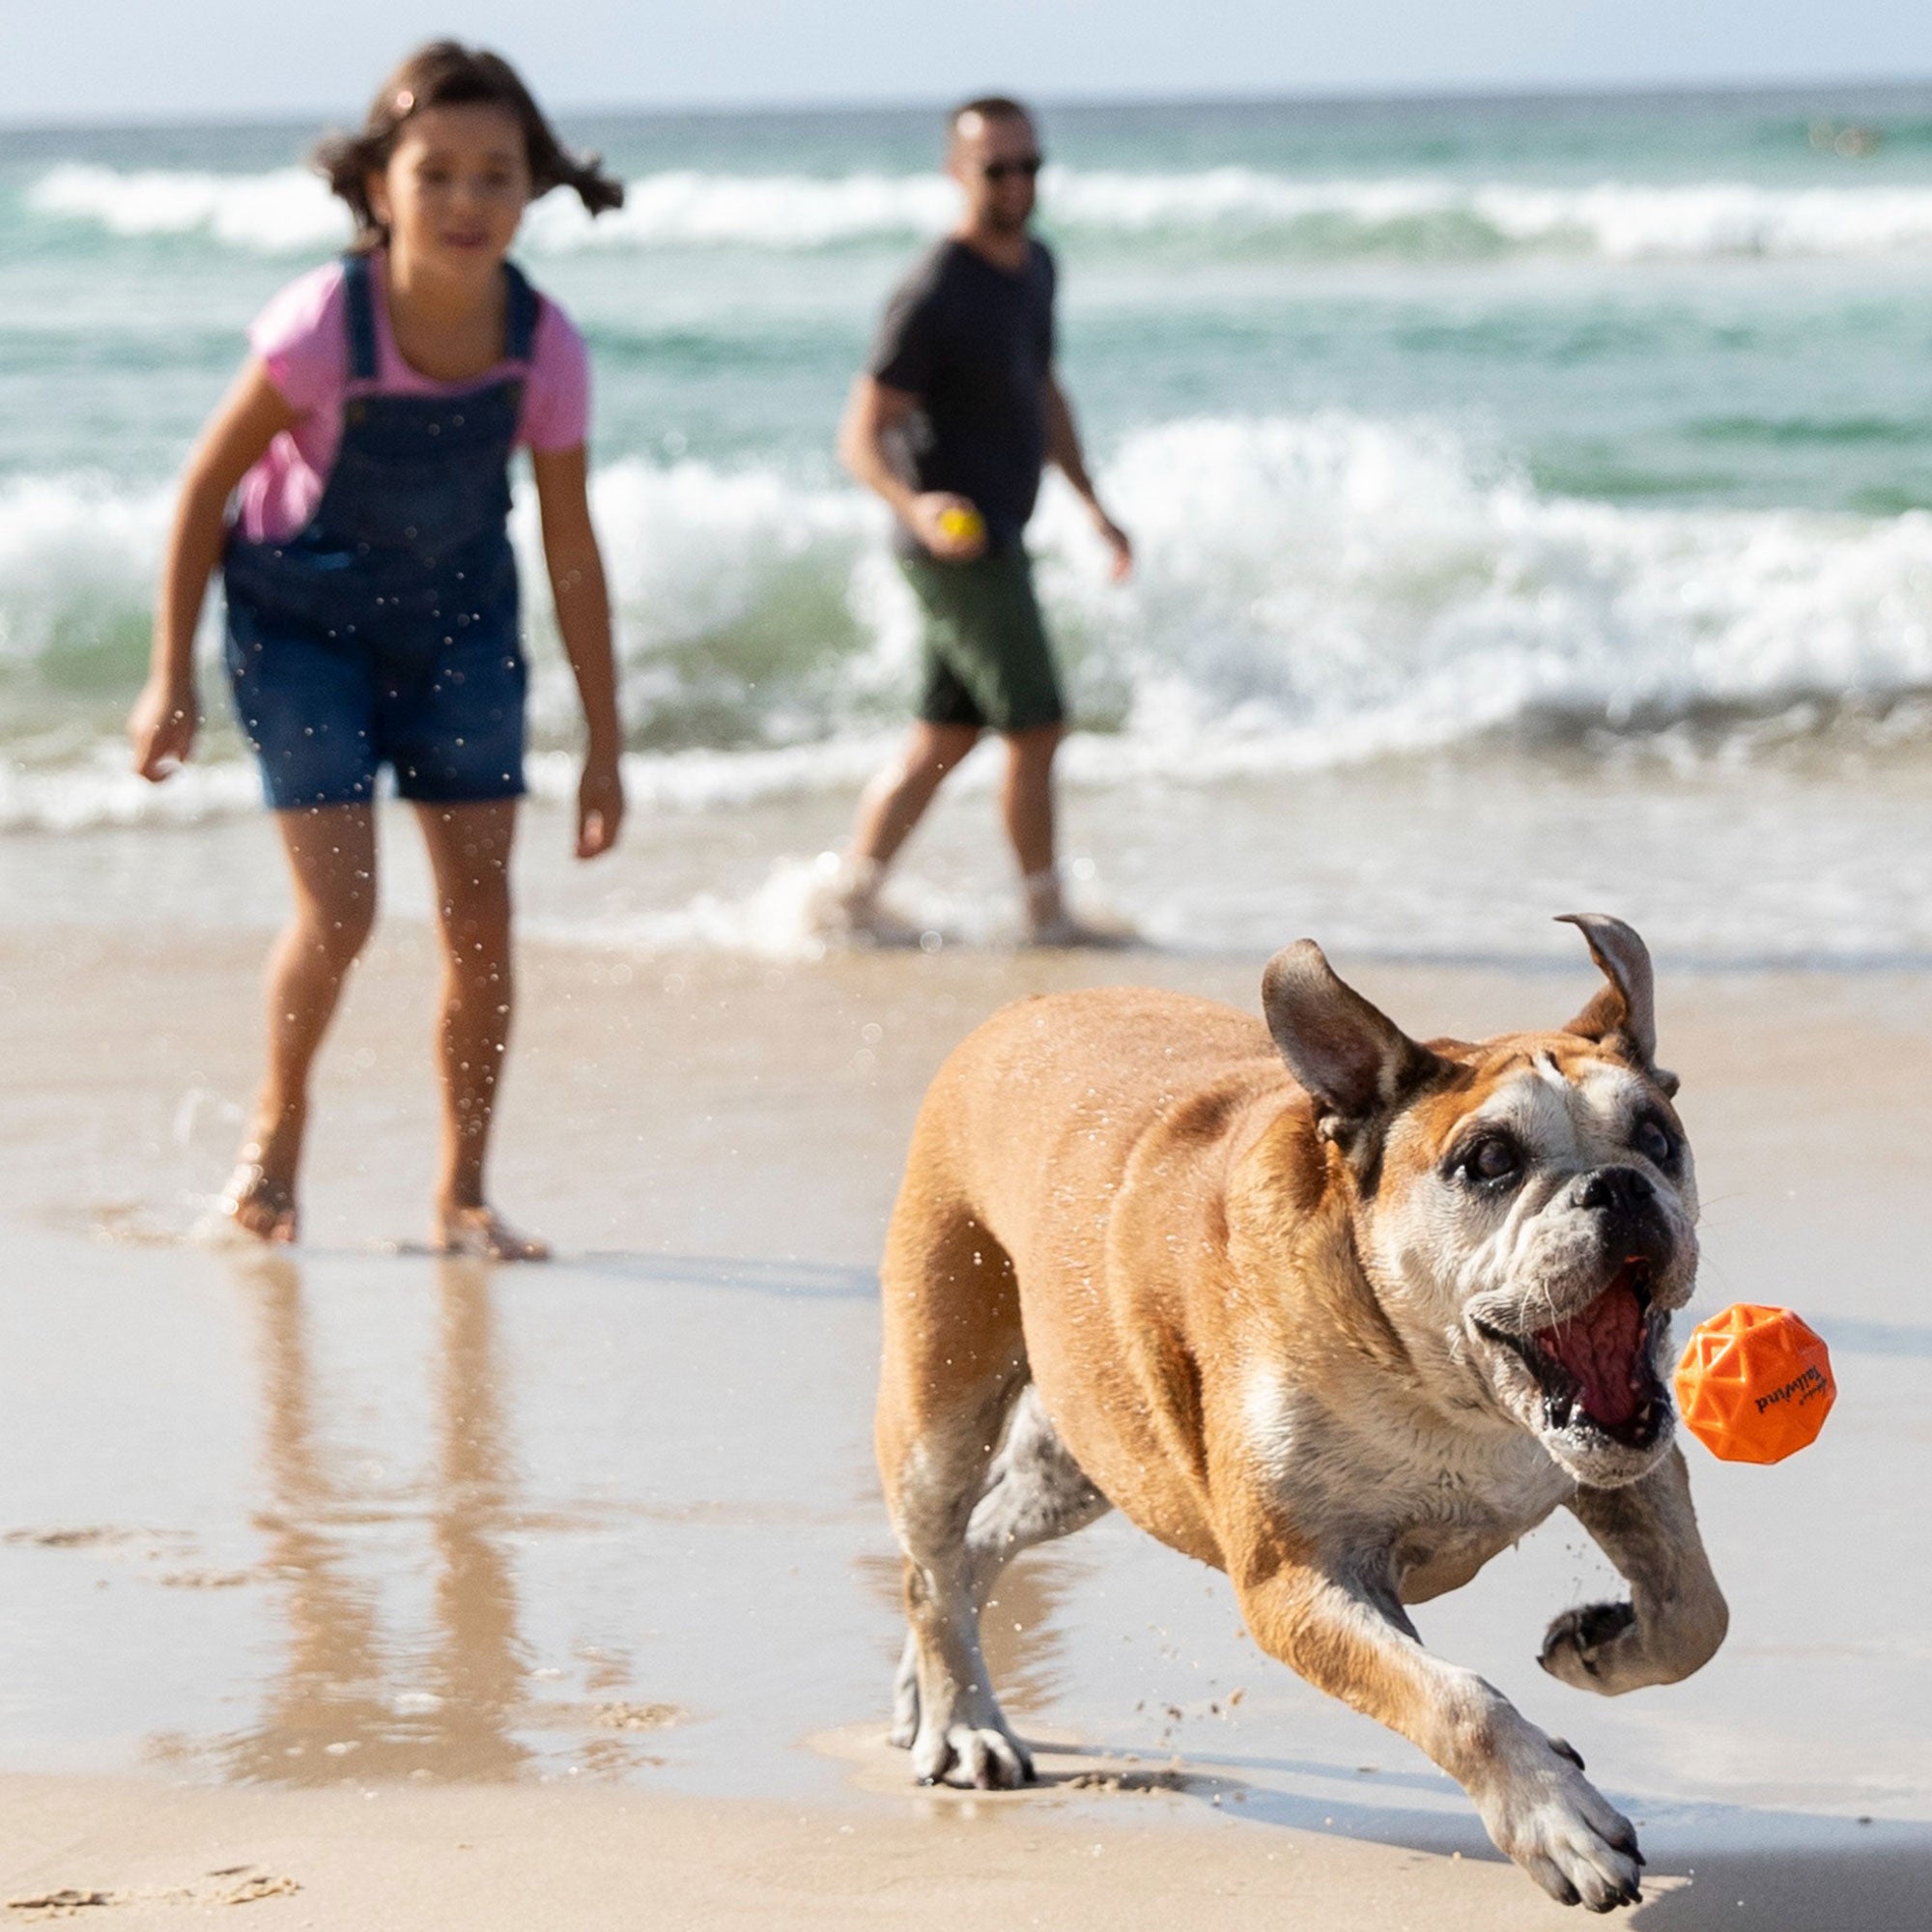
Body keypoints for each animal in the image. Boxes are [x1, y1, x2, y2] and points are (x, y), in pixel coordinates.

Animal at [873, 912, 1723, 1909]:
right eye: (1489, 1161)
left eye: (1657, 1138)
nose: (1619, 1185)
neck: (1439, 1386)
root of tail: (1022, 1010)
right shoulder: (1295, 1582)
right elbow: (1456, 1699)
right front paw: (1558, 1820)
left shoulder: (1628, 1462)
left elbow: (1696, 1612)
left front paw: (1597, 1646)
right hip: (940, 1401)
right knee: (931, 1562)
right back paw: (962, 1723)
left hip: (1091, 1460)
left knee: (978, 1544)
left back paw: (925, 1693)